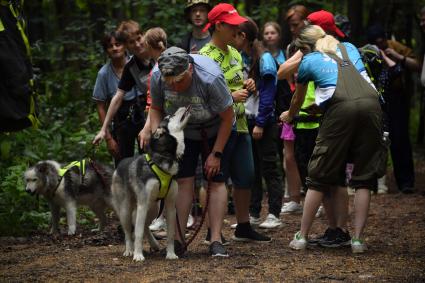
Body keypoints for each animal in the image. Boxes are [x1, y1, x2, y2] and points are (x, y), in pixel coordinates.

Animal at [111, 106, 190, 262]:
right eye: (170, 117)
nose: (183, 107)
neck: (165, 158)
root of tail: (119, 165)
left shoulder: (170, 205)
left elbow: (170, 234)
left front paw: (171, 254)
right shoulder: (142, 204)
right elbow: (138, 233)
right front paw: (138, 255)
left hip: (154, 207)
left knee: (145, 226)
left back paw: (154, 244)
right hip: (126, 209)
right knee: (129, 231)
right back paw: (129, 250)